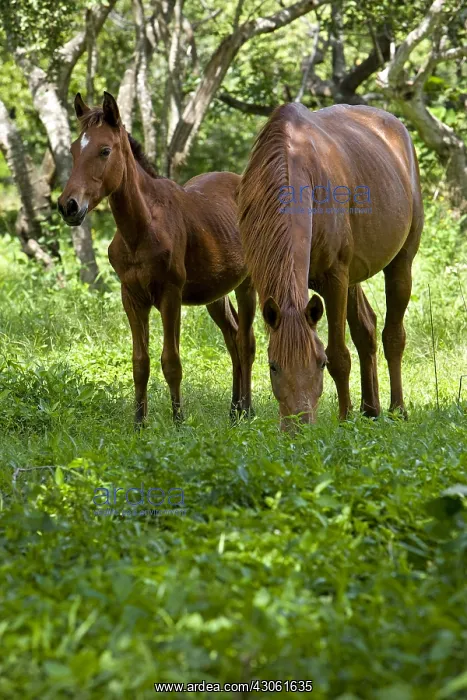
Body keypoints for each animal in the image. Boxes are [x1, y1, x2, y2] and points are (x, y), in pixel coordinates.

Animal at [58, 91, 256, 425]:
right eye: (74, 149)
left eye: (105, 150)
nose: (68, 205)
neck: (142, 229)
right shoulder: (132, 297)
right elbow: (140, 362)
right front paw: (139, 423)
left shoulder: (170, 296)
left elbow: (171, 361)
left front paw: (178, 422)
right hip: (217, 294)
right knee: (232, 338)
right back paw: (234, 410)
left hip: (247, 285)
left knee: (246, 342)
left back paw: (248, 410)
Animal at [238, 103, 423, 430]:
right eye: (273, 366)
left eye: (319, 363)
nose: (297, 426)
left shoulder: (335, 278)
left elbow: (339, 356)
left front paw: (344, 420)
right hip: (354, 278)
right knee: (366, 329)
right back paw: (370, 409)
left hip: (400, 265)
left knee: (393, 336)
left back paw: (397, 409)